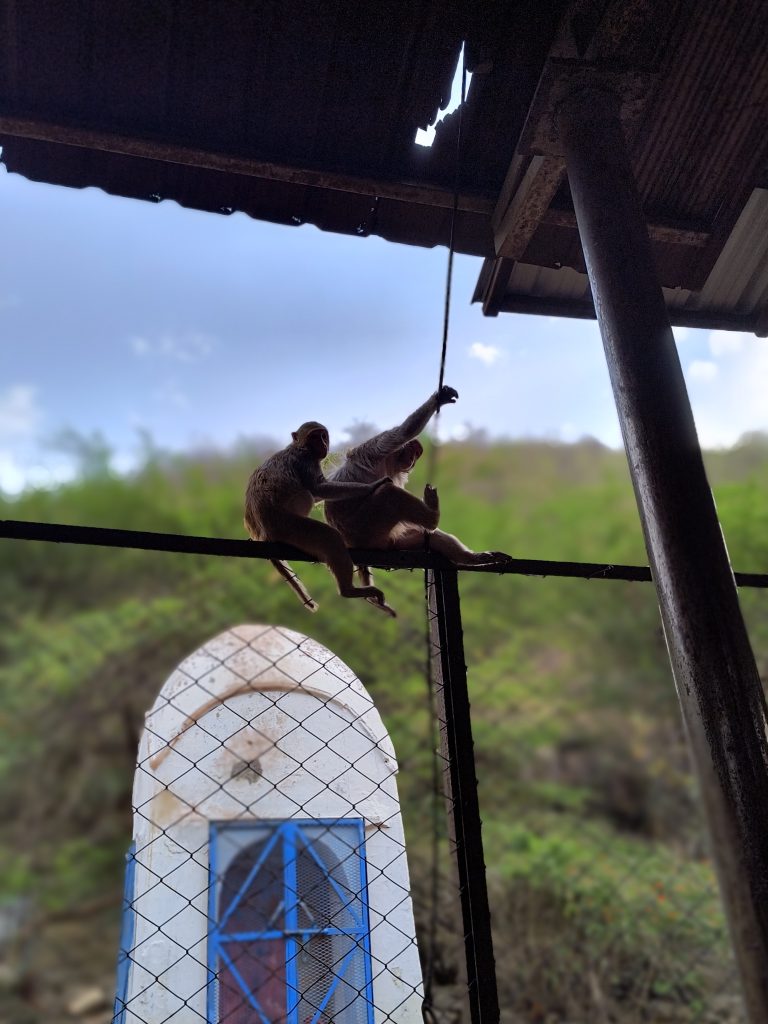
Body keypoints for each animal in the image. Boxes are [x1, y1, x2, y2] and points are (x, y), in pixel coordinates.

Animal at [243, 417, 393, 614]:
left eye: (323, 436)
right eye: (314, 437)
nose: (323, 444)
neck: (300, 448)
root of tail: (263, 533)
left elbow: (319, 493)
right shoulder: (305, 462)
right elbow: (318, 489)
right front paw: (373, 486)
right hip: (288, 526)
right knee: (327, 532)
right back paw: (348, 590)